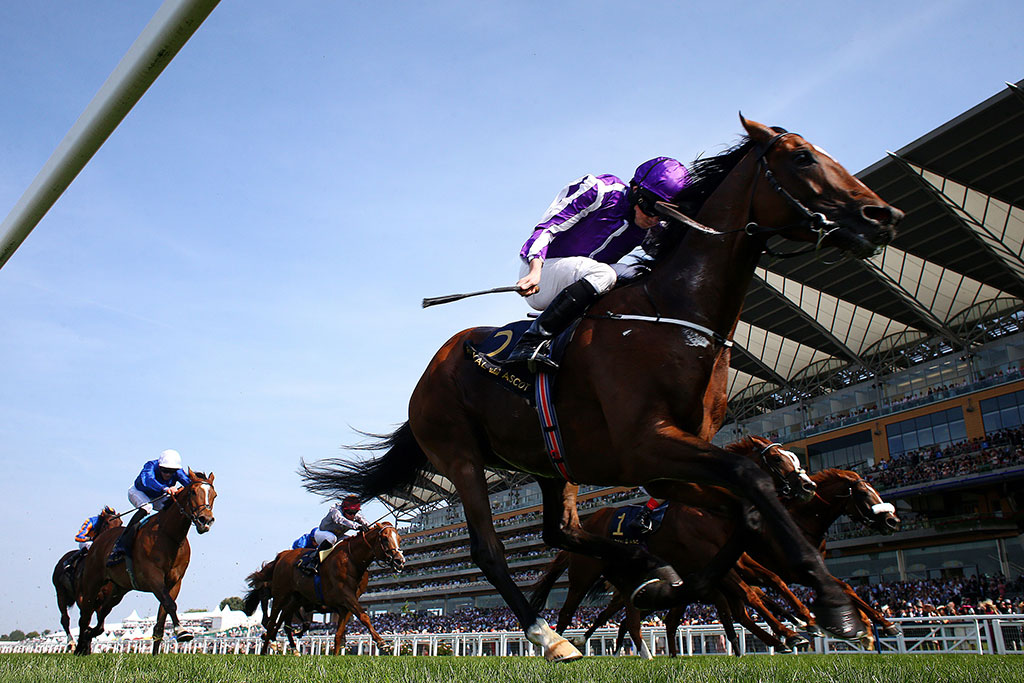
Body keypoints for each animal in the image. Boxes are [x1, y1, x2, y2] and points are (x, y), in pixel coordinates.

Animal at [50, 507, 120, 651]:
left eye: (120, 522)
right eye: (107, 523)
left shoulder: (101, 599)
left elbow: (100, 625)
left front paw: (87, 641)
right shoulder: (82, 596)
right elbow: (84, 619)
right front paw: (83, 645)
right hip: (60, 592)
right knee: (65, 619)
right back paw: (71, 643)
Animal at [74, 471, 216, 655]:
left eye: (214, 495)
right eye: (193, 492)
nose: (205, 520)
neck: (169, 535)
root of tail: (99, 540)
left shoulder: (175, 582)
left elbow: (161, 620)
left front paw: (156, 655)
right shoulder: (153, 577)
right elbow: (170, 604)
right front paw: (182, 631)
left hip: (119, 588)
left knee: (103, 612)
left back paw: (90, 635)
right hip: (92, 581)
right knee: (85, 614)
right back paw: (79, 647)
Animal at [246, 524, 403, 655]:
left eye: (399, 539)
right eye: (384, 539)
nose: (399, 561)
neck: (353, 560)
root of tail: (282, 555)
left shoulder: (345, 604)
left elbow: (339, 634)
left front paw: (335, 657)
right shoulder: (346, 596)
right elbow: (364, 616)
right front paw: (381, 642)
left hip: (294, 599)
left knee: (282, 624)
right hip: (281, 595)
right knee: (272, 622)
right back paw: (265, 650)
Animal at [301, 114, 905, 659]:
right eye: (802, 157)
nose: (884, 214)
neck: (675, 315)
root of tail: (431, 371)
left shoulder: (666, 460)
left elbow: (742, 510)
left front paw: (672, 580)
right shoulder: (648, 446)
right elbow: (749, 481)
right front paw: (834, 606)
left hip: (551, 465)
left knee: (561, 534)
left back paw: (639, 570)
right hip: (461, 455)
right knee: (490, 550)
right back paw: (549, 635)